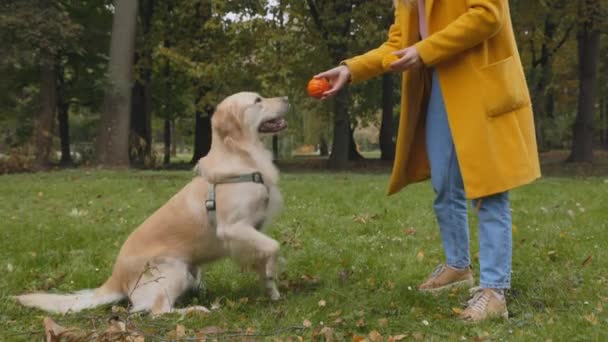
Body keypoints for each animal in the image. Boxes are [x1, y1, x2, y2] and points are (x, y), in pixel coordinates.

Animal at [14, 91, 290, 316]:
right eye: (258, 100)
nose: (287, 99)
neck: (243, 158)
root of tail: (116, 278)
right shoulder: (233, 228)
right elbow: (274, 246)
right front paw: (272, 272)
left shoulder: (253, 230)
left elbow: (264, 254)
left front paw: (272, 291)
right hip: (174, 269)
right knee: (156, 309)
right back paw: (196, 310)